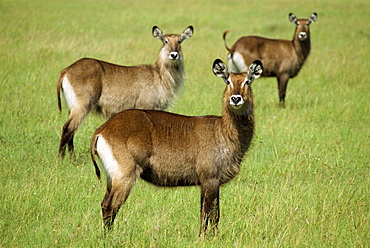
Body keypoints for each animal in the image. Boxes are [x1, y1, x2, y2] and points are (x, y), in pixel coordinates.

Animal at [56, 26, 194, 160]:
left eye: (179, 41)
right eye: (166, 41)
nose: (174, 55)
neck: (159, 76)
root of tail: (66, 70)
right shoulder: (146, 107)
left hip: (72, 106)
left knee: (72, 130)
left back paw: (72, 159)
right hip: (82, 105)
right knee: (67, 128)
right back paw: (61, 159)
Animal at [89, 58, 264, 236]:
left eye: (248, 81)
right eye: (228, 80)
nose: (236, 98)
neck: (223, 131)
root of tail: (101, 130)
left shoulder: (208, 182)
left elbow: (210, 213)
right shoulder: (210, 179)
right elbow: (210, 214)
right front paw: (206, 237)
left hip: (112, 177)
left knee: (104, 204)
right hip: (124, 176)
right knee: (110, 206)